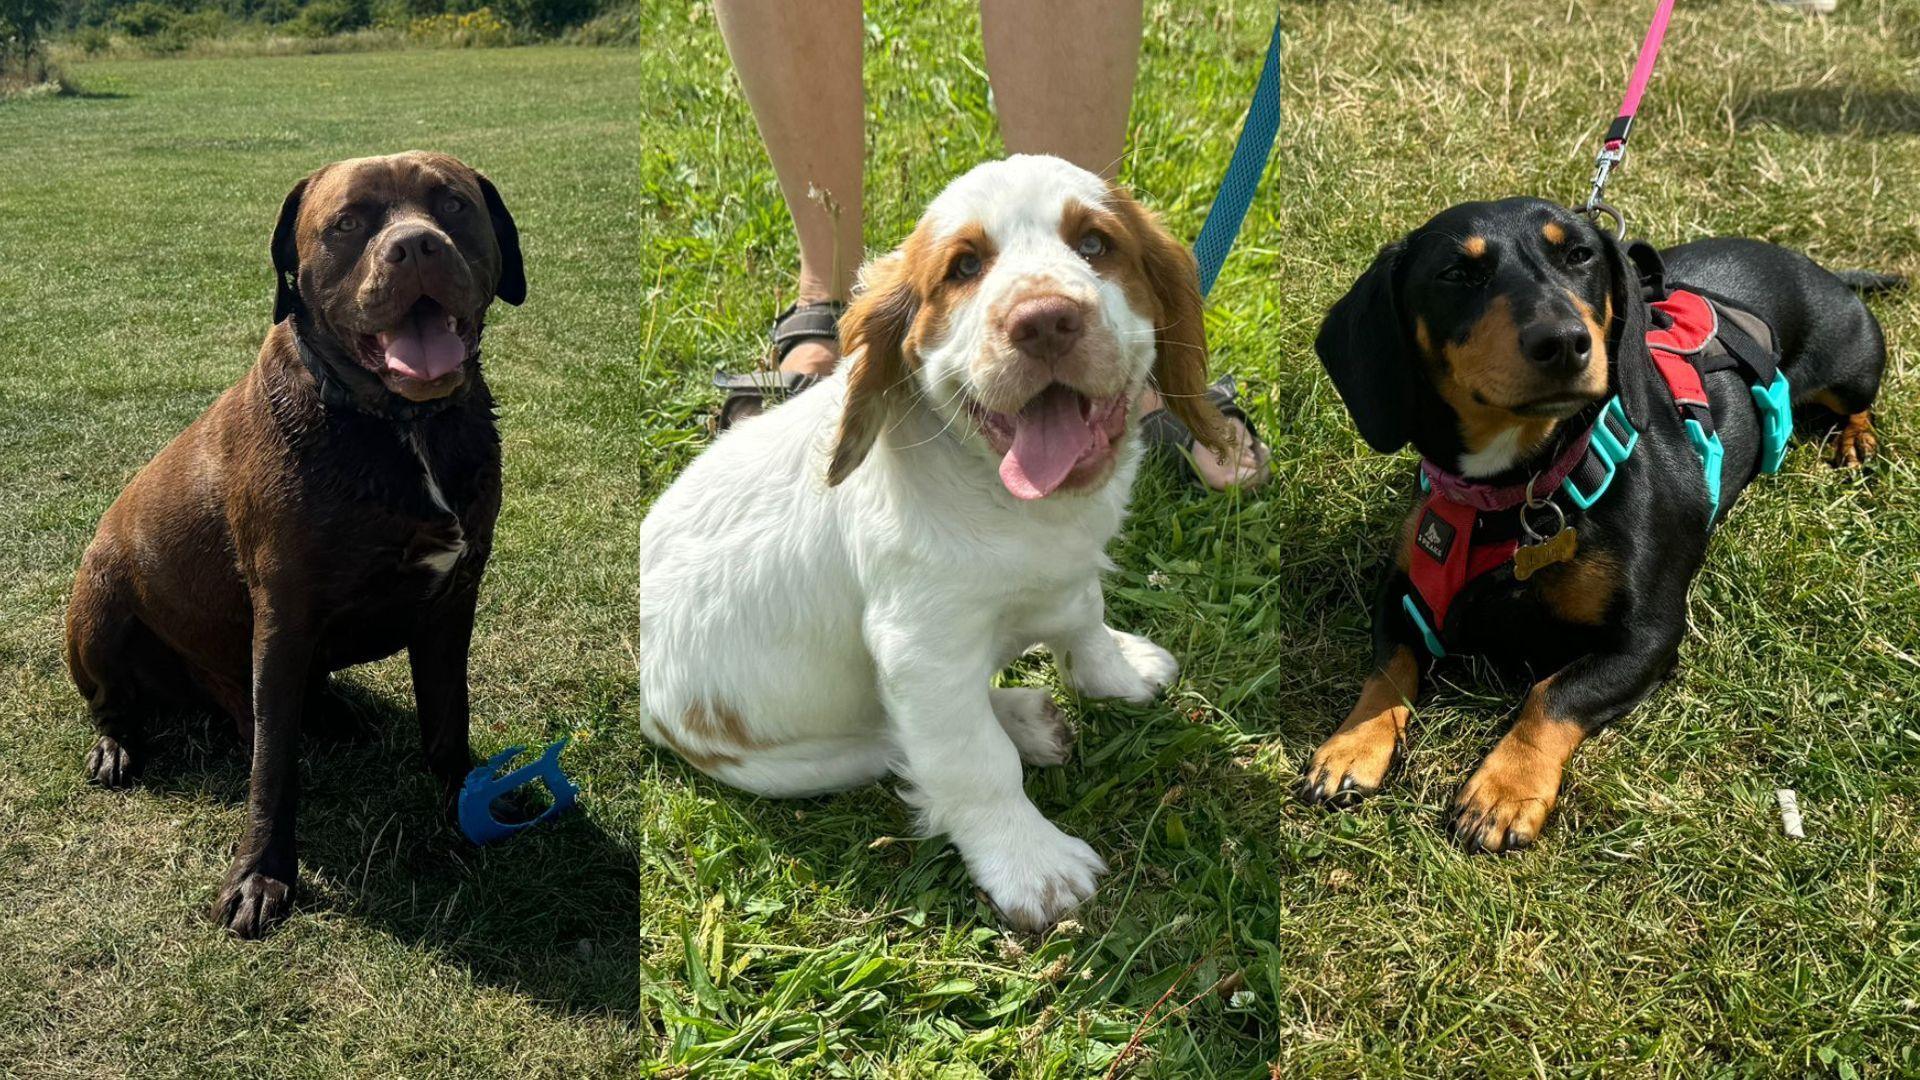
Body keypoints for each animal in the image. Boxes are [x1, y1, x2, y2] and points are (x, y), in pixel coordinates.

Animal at [66, 151, 526, 933]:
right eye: (346, 223)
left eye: (452, 205)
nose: (415, 247)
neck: (401, 429)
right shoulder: (283, 618)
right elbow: (275, 767)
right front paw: (261, 874)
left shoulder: (453, 601)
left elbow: (447, 720)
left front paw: (464, 811)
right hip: (96, 603)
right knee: (117, 700)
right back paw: (117, 746)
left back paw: (335, 714)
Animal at [637, 151, 1221, 926]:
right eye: (964, 266)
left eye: (1096, 244)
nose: (1045, 321)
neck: (1008, 499)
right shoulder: (922, 651)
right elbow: (973, 761)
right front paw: (1032, 865)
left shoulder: (1069, 570)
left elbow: (1084, 617)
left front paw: (1116, 669)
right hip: (789, 764)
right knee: (890, 742)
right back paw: (1024, 721)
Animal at [1297, 193, 1896, 849]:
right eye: (1456, 273)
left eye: (1580, 255)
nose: (1563, 341)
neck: (1520, 490)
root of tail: (1815, 267)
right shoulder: (1403, 589)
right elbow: (1389, 666)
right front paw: (1354, 744)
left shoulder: (1649, 637)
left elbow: (1551, 694)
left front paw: (1504, 789)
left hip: (1852, 367)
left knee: (1859, 402)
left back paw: (1856, 440)